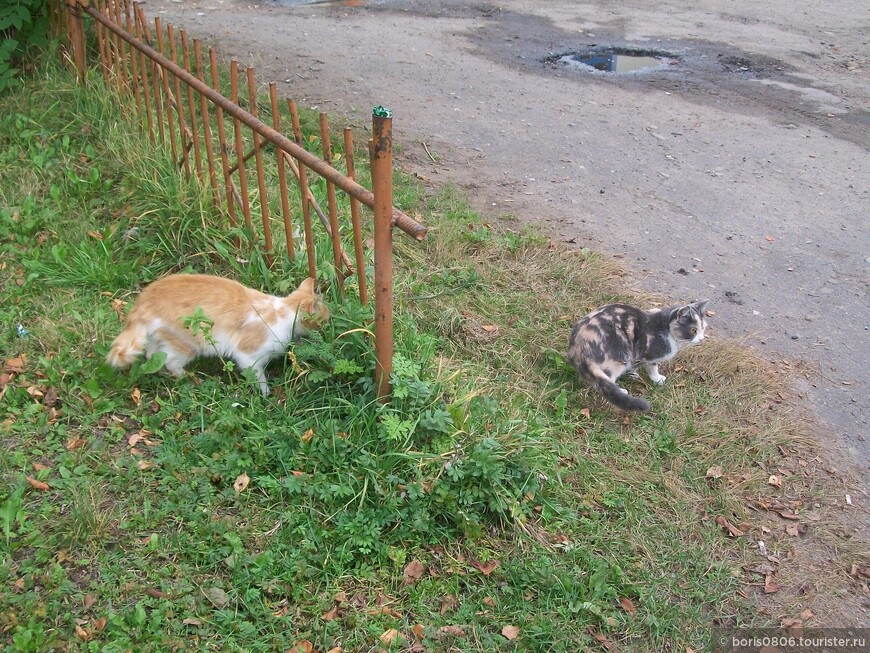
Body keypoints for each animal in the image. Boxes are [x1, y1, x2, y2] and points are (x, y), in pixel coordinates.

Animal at [109, 274, 328, 394]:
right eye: (324, 318)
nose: (328, 326)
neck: (284, 311)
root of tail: (145, 299)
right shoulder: (247, 355)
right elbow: (258, 377)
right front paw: (265, 394)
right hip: (188, 344)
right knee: (171, 361)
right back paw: (189, 379)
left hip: (159, 338)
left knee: (152, 355)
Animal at [568, 298, 712, 410]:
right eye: (693, 330)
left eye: (704, 328)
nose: (701, 339)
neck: (666, 327)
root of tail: (579, 346)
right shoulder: (647, 353)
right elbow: (652, 367)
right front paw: (657, 378)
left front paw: (633, 374)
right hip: (619, 352)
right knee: (607, 376)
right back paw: (620, 390)